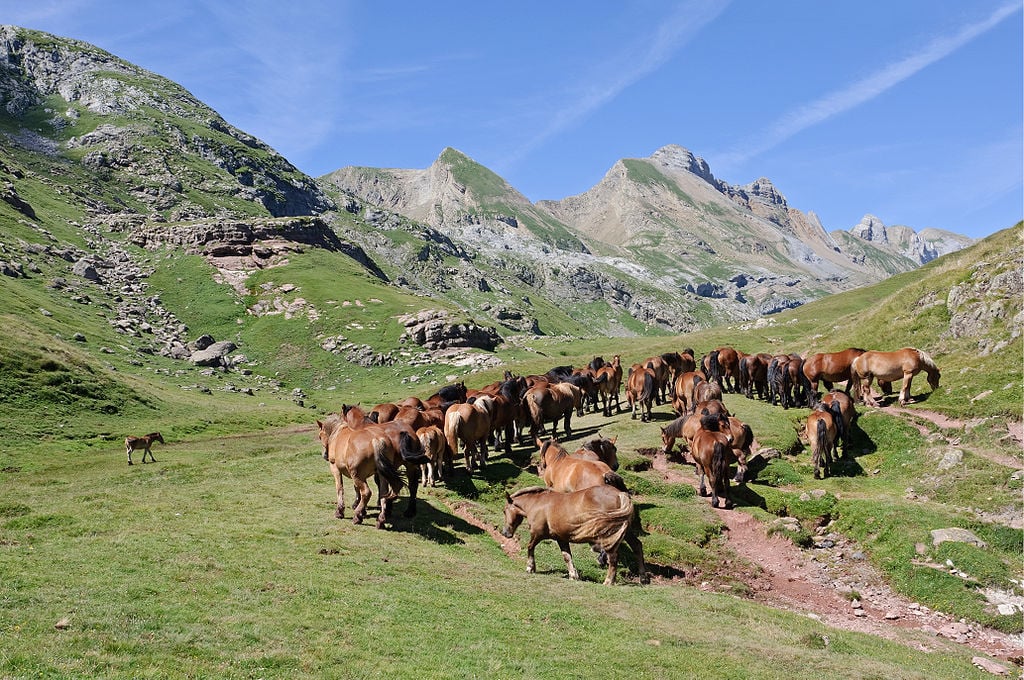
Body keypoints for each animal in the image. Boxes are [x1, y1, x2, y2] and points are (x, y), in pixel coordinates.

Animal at [495, 483, 647, 585]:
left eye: (504, 510)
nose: (505, 533)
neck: (537, 503)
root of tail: (619, 494)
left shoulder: (537, 534)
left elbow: (530, 547)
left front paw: (530, 567)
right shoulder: (561, 539)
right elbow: (567, 557)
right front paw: (573, 575)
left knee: (613, 557)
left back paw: (608, 581)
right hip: (626, 532)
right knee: (637, 546)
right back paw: (643, 578)